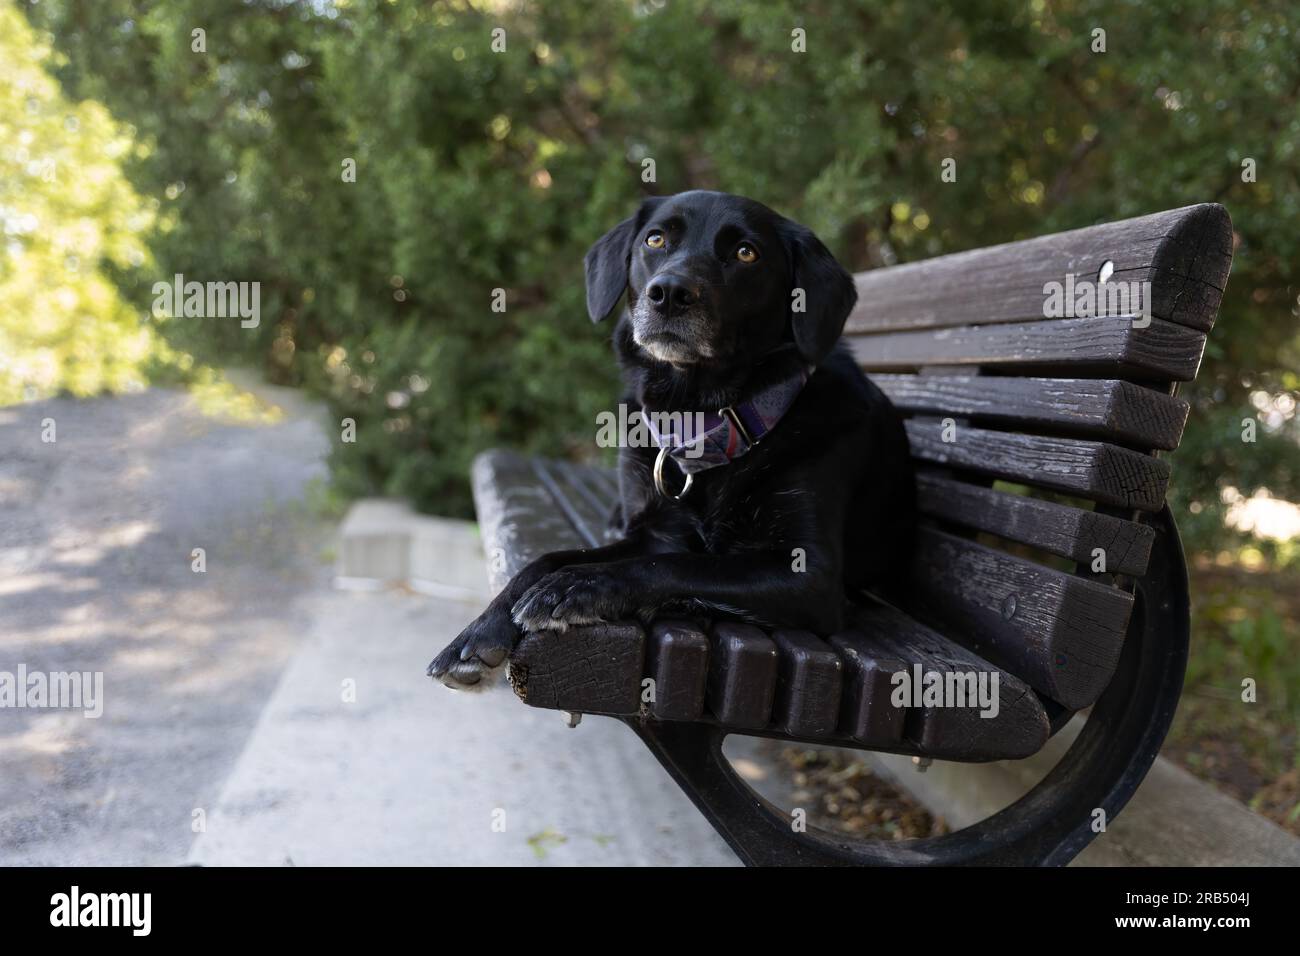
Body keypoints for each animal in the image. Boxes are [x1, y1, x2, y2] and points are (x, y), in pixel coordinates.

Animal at [428, 191, 915, 691]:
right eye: (656, 239)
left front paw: (577, 586)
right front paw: (478, 631)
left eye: (747, 253)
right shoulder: (657, 532)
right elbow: (546, 560)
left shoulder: (810, 574)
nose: (669, 293)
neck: (702, 421)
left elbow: (678, 565)